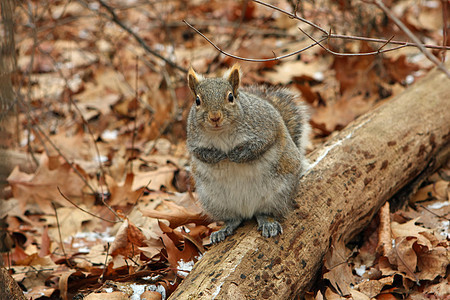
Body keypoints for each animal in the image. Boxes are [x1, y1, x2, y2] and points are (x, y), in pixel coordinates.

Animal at [186, 63, 310, 244]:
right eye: (197, 100)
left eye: (231, 97)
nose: (215, 117)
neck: (221, 132)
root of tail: (247, 210)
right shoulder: (192, 141)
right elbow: (200, 154)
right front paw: (218, 156)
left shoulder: (265, 126)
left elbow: (261, 145)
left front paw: (236, 156)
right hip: (214, 201)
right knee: (234, 219)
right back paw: (223, 229)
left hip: (279, 192)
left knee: (265, 212)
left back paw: (268, 223)